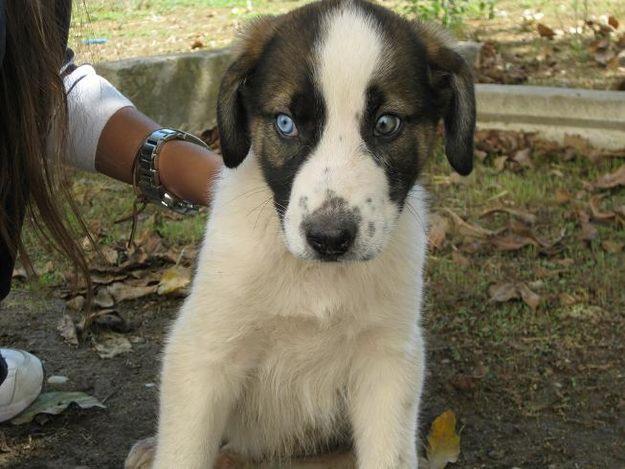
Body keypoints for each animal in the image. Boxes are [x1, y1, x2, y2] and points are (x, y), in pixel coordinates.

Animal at [151, 1, 472, 466]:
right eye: (286, 124)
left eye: (387, 124)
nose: (330, 238)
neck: (316, 278)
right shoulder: (204, 353)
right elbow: (183, 451)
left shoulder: (388, 359)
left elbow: (389, 453)